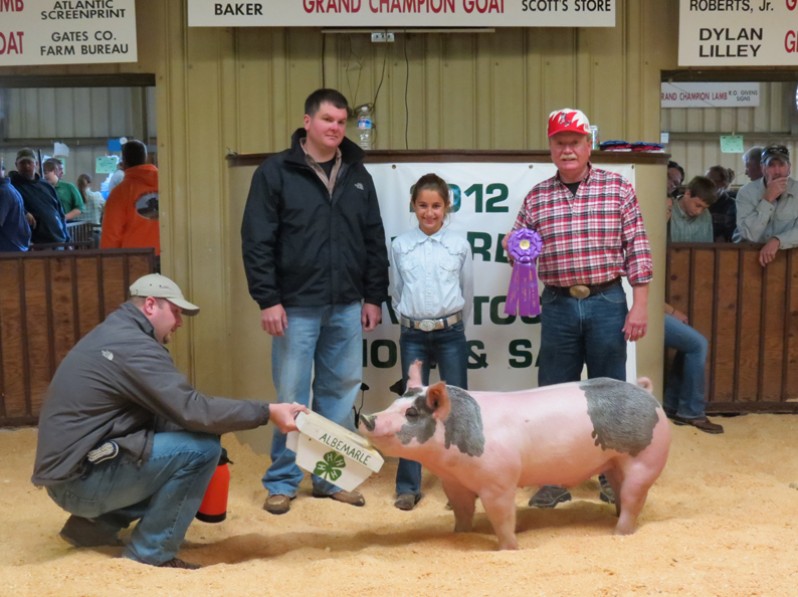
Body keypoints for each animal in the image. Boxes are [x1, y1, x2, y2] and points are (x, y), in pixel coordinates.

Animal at [360, 358, 672, 548]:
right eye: (393, 403)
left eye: (411, 413)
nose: (367, 418)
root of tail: (647, 394)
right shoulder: (455, 483)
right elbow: (462, 512)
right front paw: (460, 535)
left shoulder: (499, 481)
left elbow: (502, 517)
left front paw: (509, 548)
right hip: (614, 463)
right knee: (620, 493)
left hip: (645, 461)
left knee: (633, 499)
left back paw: (618, 534)